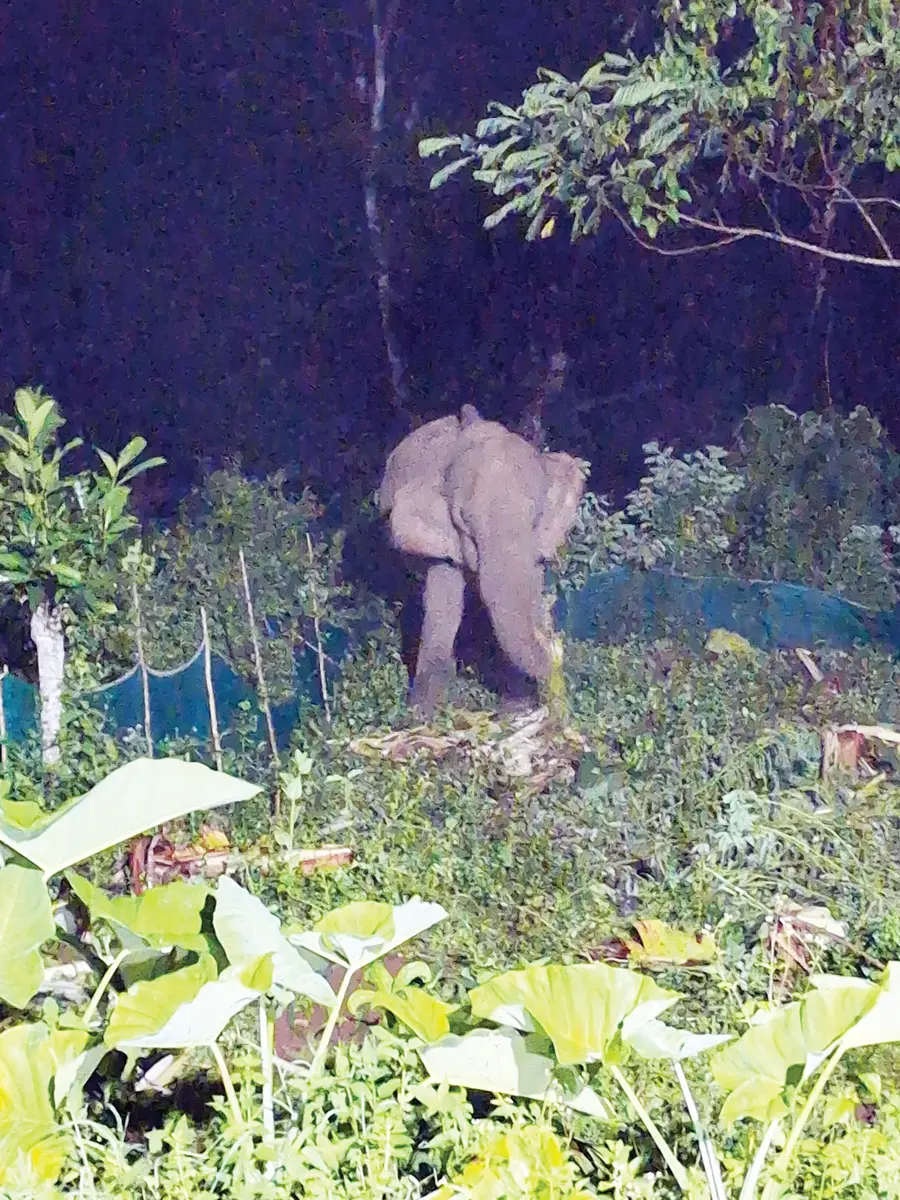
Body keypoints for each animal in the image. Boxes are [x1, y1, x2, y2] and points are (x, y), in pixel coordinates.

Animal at [379, 405, 586, 713]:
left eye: (535, 515)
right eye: (464, 521)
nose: (555, 649)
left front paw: (517, 708)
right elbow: (443, 605)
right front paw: (422, 715)